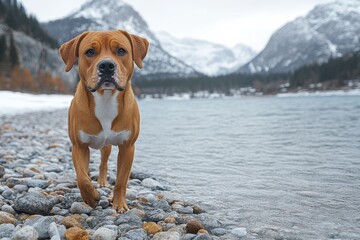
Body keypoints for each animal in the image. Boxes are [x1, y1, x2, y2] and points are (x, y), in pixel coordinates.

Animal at [59, 30, 149, 212]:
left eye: (121, 51)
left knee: (104, 163)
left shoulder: (128, 147)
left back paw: (102, 182)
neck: (105, 98)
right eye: (89, 52)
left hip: (107, 147)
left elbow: (121, 181)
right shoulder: (79, 146)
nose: (107, 65)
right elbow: (82, 178)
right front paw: (91, 197)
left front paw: (119, 204)